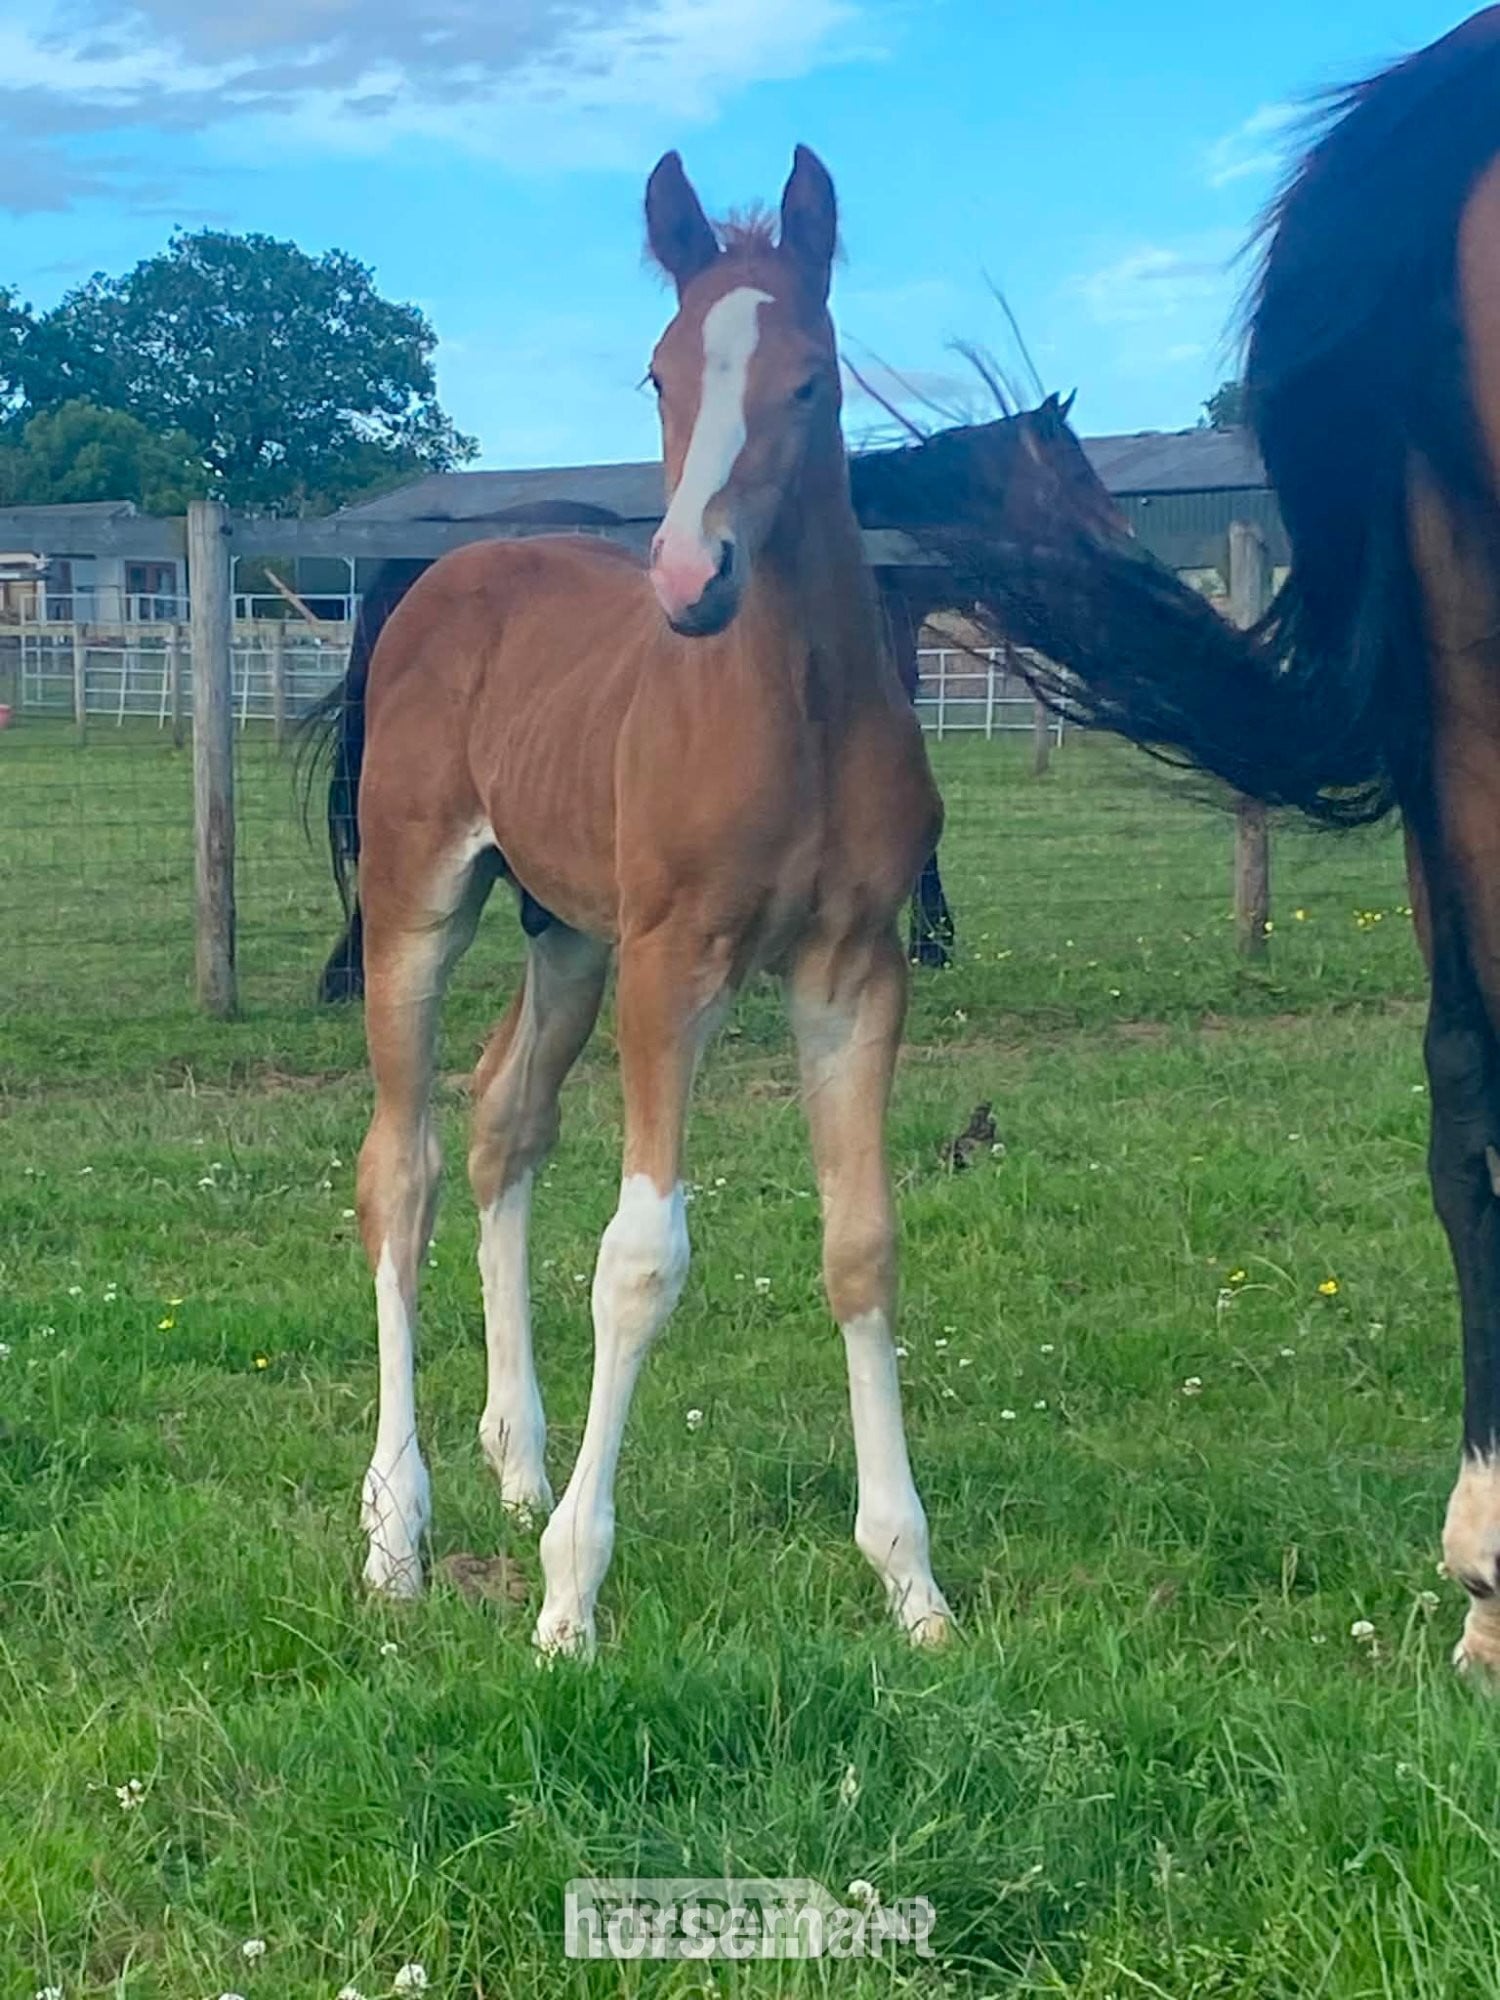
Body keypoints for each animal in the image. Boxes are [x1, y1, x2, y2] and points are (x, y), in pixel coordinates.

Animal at [327, 147, 955, 1656]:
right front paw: (570, 1601)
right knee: (403, 1171)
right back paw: (397, 1530)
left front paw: (911, 1582)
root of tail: (439, 577)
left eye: (814, 378)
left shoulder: (854, 970)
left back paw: (516, 1465)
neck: (793, 705)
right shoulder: (680, 963)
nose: (688, 578)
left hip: (566, 933)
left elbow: (863, 1244)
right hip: (423, 908)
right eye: (660, 375)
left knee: (503, 1125)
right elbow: (638, 1259)